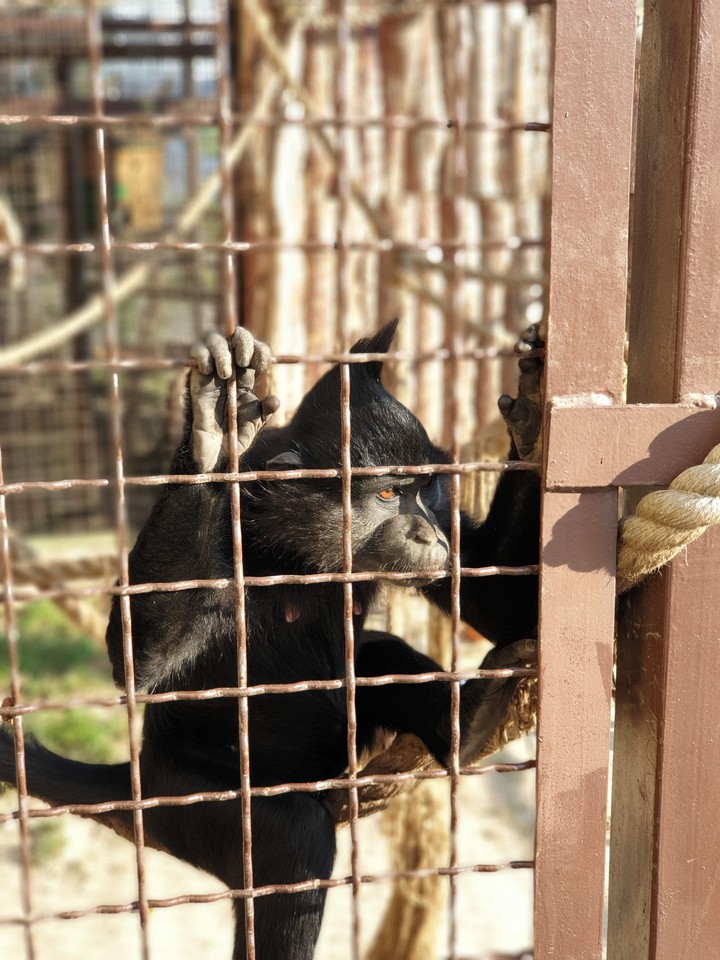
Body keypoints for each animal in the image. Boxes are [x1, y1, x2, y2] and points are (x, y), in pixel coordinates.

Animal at [0, 321, 541, 960]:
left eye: (426, 489)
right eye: (388, 495)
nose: (431, 535)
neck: (296, 549)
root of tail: (141, 774)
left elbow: (506, 609)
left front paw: (534, 409)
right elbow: (135, 663)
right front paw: (212, 434)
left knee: (378, 654)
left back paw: (470, 722)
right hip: (187, 801)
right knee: (295, 839)